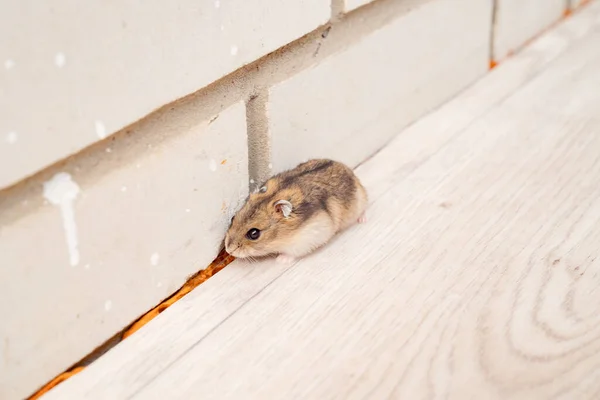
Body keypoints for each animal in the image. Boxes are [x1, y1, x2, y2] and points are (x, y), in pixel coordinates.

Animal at [224, 158, 366, 264]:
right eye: (232, 218)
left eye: (254, 233)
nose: (228, 250)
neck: (282, 236)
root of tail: (345, 167)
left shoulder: (308, 238)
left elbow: (292, 253)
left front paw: (280, 260)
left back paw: (362, 220)